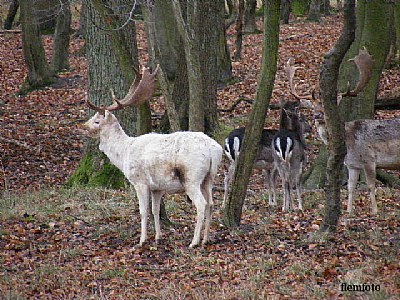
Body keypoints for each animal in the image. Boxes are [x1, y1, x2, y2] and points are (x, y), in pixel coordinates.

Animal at [83, 66, 223, 248]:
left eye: (97, 121)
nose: (83, 126)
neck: (124, 153)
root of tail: (214, 149)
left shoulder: (140, 182)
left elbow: (144, 211)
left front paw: (142, 240)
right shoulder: (157, 187)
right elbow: (155, 210)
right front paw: (158, 237)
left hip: (191, 177)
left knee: (201, 204)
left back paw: (194, 242)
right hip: (209, 177)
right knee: (211, 204)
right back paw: (206, 239)